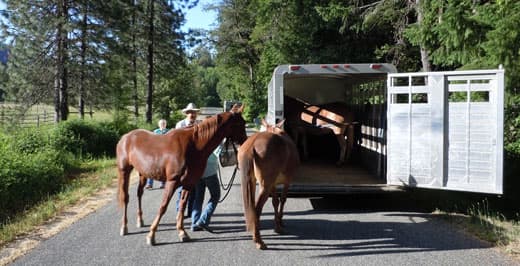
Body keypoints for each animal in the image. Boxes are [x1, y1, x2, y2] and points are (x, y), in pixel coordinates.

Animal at [117, 104, 247, 245]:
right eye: (241, 123)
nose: (245, 142)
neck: (194, 146)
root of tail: (126, 137)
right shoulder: (172, 181)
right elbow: (163, 206)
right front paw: (151, 235)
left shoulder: (189, 183)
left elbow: (182, 206)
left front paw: (182, 232)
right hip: (124, 170)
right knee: (125, 197)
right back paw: (124, 227)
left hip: (143, 173)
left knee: (139, 194)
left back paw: (140, 221)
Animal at [238, 118, 298, 249]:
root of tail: (251, 145)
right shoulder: (287, 181)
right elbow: (283, 200)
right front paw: (280, 223)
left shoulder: (273, 184)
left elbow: (275, 202)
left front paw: (277, 225)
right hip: (264, 186)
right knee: (257, 209)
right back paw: (259, 241)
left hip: (251, 182)